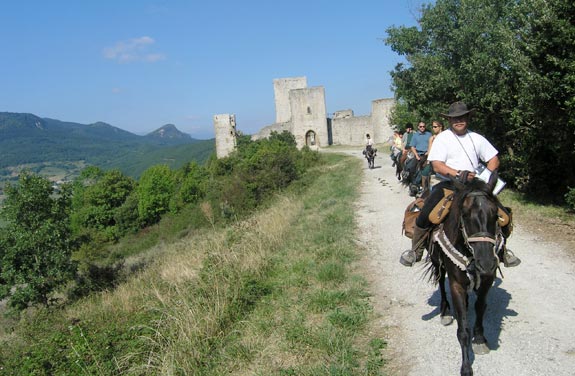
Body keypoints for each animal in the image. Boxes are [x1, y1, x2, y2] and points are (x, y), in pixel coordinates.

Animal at [428, 173, 504, 376]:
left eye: (496, 215)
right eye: (465, 214)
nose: (486, 263)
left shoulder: (487, 280)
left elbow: (480, 307)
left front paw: (479, 338)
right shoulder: (456, 285)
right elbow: (462, 329)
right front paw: (466, 367)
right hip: (437, 262)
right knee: (441, 282)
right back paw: (446, 311)